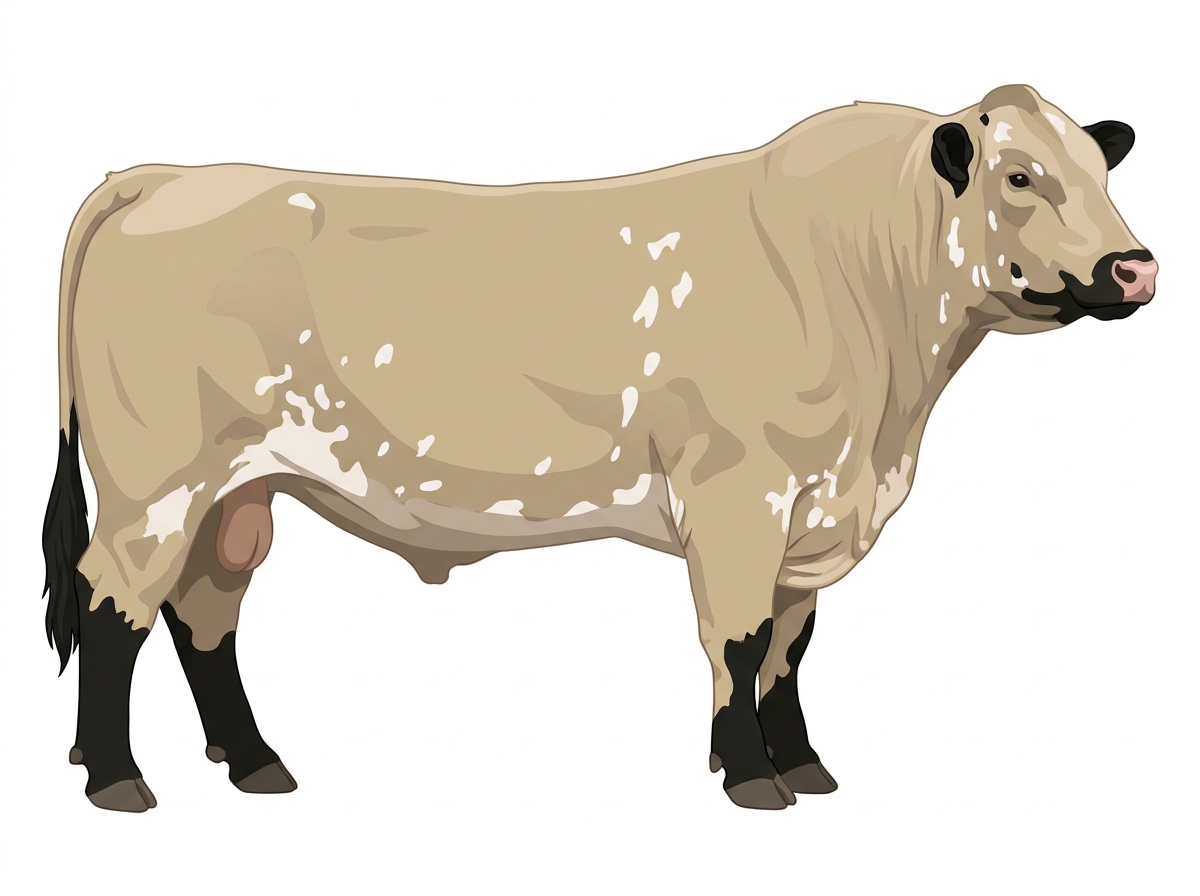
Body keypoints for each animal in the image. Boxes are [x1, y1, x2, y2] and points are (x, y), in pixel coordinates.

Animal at [41, 84, 1156, 812]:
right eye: (1020, 176)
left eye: (1102, 170)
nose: (1135, 267)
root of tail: (162, 176)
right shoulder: (740, 497)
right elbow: (740, 639)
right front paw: (750, 776)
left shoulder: (811, 511)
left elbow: (792, 648)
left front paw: (802, 763)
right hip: (155, 480)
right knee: (112, 605)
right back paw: (115, 777)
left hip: (238, 490)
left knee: (203, 613)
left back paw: (253, 760)